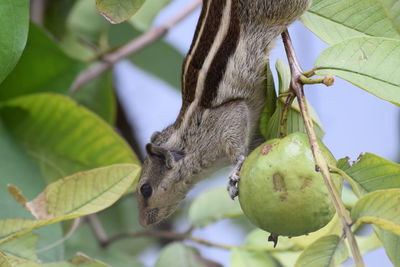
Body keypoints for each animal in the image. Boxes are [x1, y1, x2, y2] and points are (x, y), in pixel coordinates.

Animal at [138, 0, 312, 227]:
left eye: (145, 189)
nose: (143, 222)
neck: (188, 140)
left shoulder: (229, 117)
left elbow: (237, 149)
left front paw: (233, 176)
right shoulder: (252, 134)